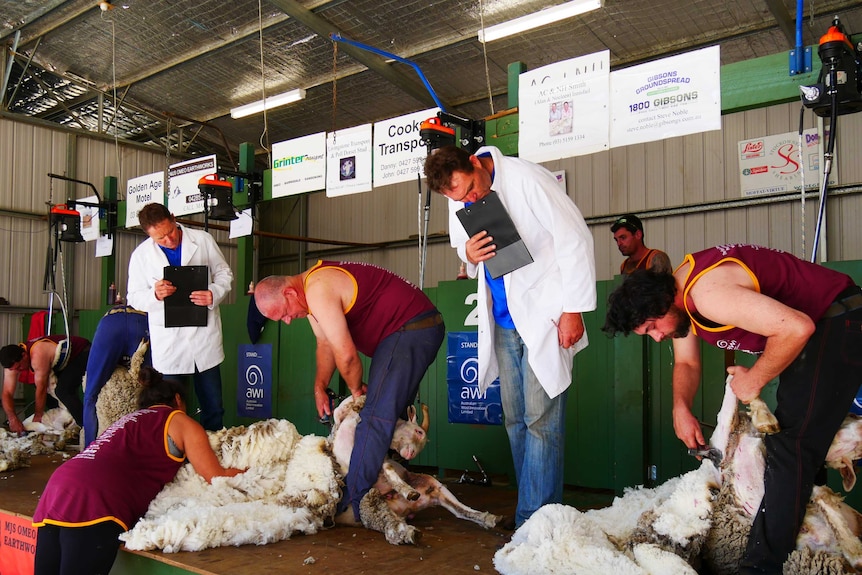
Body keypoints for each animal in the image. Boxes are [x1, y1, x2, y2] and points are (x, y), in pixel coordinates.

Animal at [330, 396, 500, 544]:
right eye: (419, 432)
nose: (410, 454)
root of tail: (404, 509)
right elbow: (339, 410)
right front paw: (358, 402)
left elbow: (386, 466)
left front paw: (407, 490)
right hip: (370, 502)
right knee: (390, 525)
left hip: (429, 485)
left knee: (458, 510)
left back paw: (489, 518)